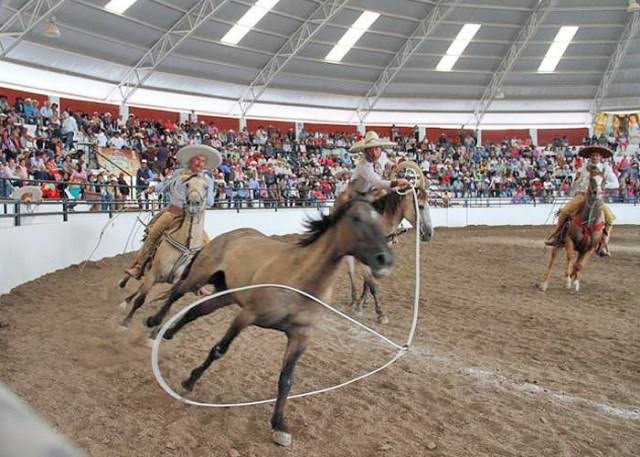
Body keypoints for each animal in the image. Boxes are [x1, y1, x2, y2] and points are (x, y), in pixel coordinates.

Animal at [147, 197, 392, 446]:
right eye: (356, 218)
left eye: (380, 220)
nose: (385, 259)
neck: (300, 280)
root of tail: (231, 235)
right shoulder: (246, 316)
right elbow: (218, 350)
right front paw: (188, 383)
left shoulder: (301, 336)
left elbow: (286, 379)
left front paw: (279, 426)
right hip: (199, 277)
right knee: (176, 292)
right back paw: (153, 326)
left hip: (225, 295)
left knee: (194, 311)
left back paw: (167, 333)